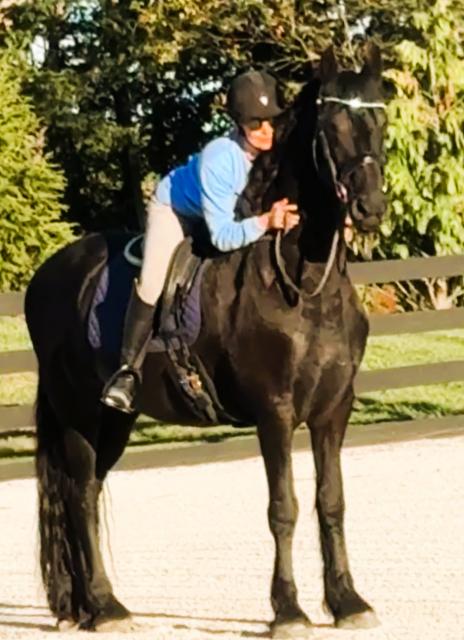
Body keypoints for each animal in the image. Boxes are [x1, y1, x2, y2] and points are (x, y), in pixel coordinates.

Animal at [25, 43, 387, 637]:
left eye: (380, 120)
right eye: (332, 126)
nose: (370, 207)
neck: (301, 283)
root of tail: (46, 277)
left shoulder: (334, 409)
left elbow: (331, 501)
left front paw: (348, 601)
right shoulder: (275, 412)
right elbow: (283, 507)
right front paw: (288, 610)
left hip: (114, 419)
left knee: (91, 490)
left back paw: (86, 608)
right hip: (78, 412)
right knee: (79, 496)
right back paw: (106, 607)